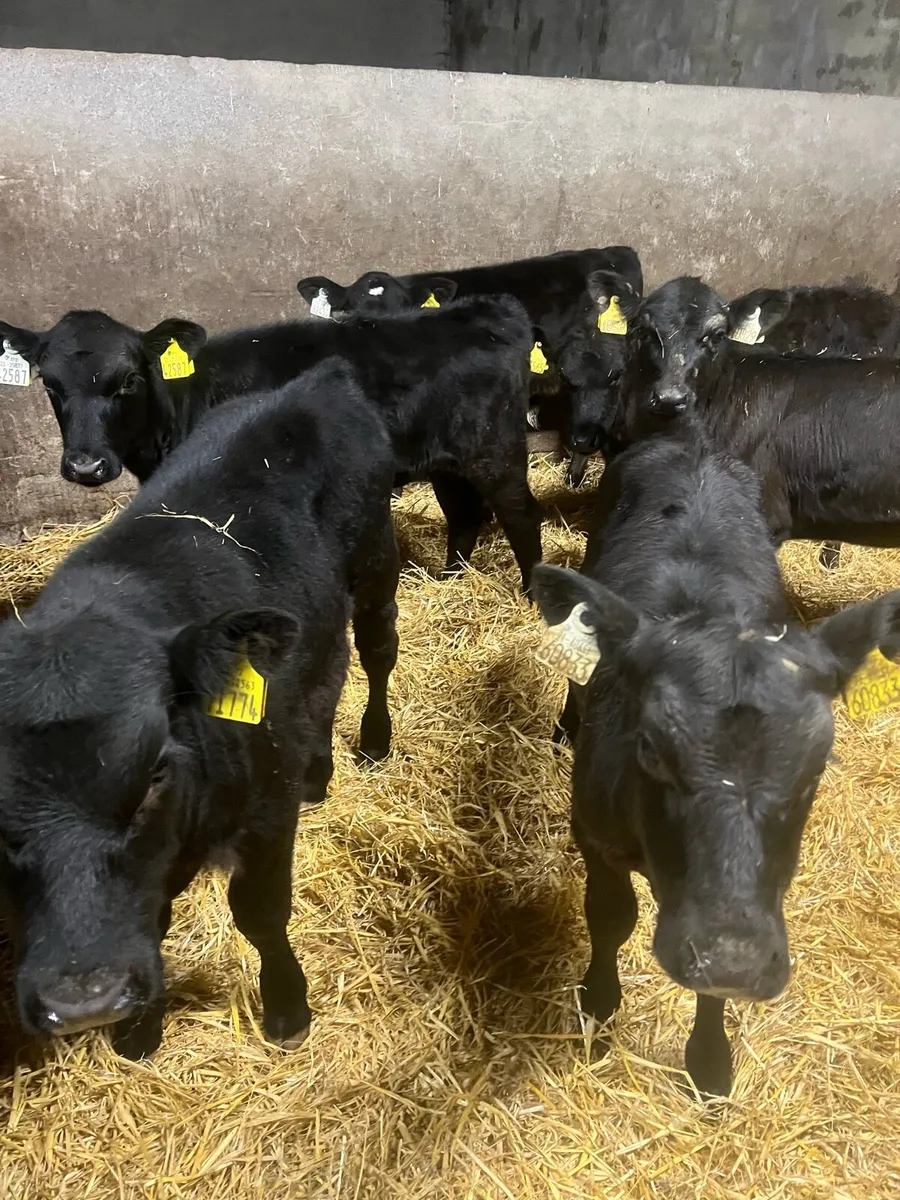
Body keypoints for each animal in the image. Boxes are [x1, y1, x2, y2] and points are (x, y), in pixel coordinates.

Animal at [0, 297, 542, 592]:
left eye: (128, 381)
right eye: (50, 384)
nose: (85, 466)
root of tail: (491, 311)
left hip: (495, 450)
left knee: (520, 515)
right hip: (446, 460)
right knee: (465, 515)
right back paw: (450, 582)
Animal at [0, 359, 400, 1060]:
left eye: (155, 770)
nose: (82, 1004)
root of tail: (317, 378)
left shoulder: (266, 808)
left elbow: (261, 913)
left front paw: (287, 1009)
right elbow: (150, 918)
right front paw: (138, 1030)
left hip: (376, 560)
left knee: (376, 650)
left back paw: (373, 741)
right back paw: (317, 770)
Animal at [531, 426, 900, 1096]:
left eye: (817, 765)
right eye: (649, 748)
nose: (732, 960)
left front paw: (709, 1059)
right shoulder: (593, 832)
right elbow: (611, 917)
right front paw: (597, 1002)